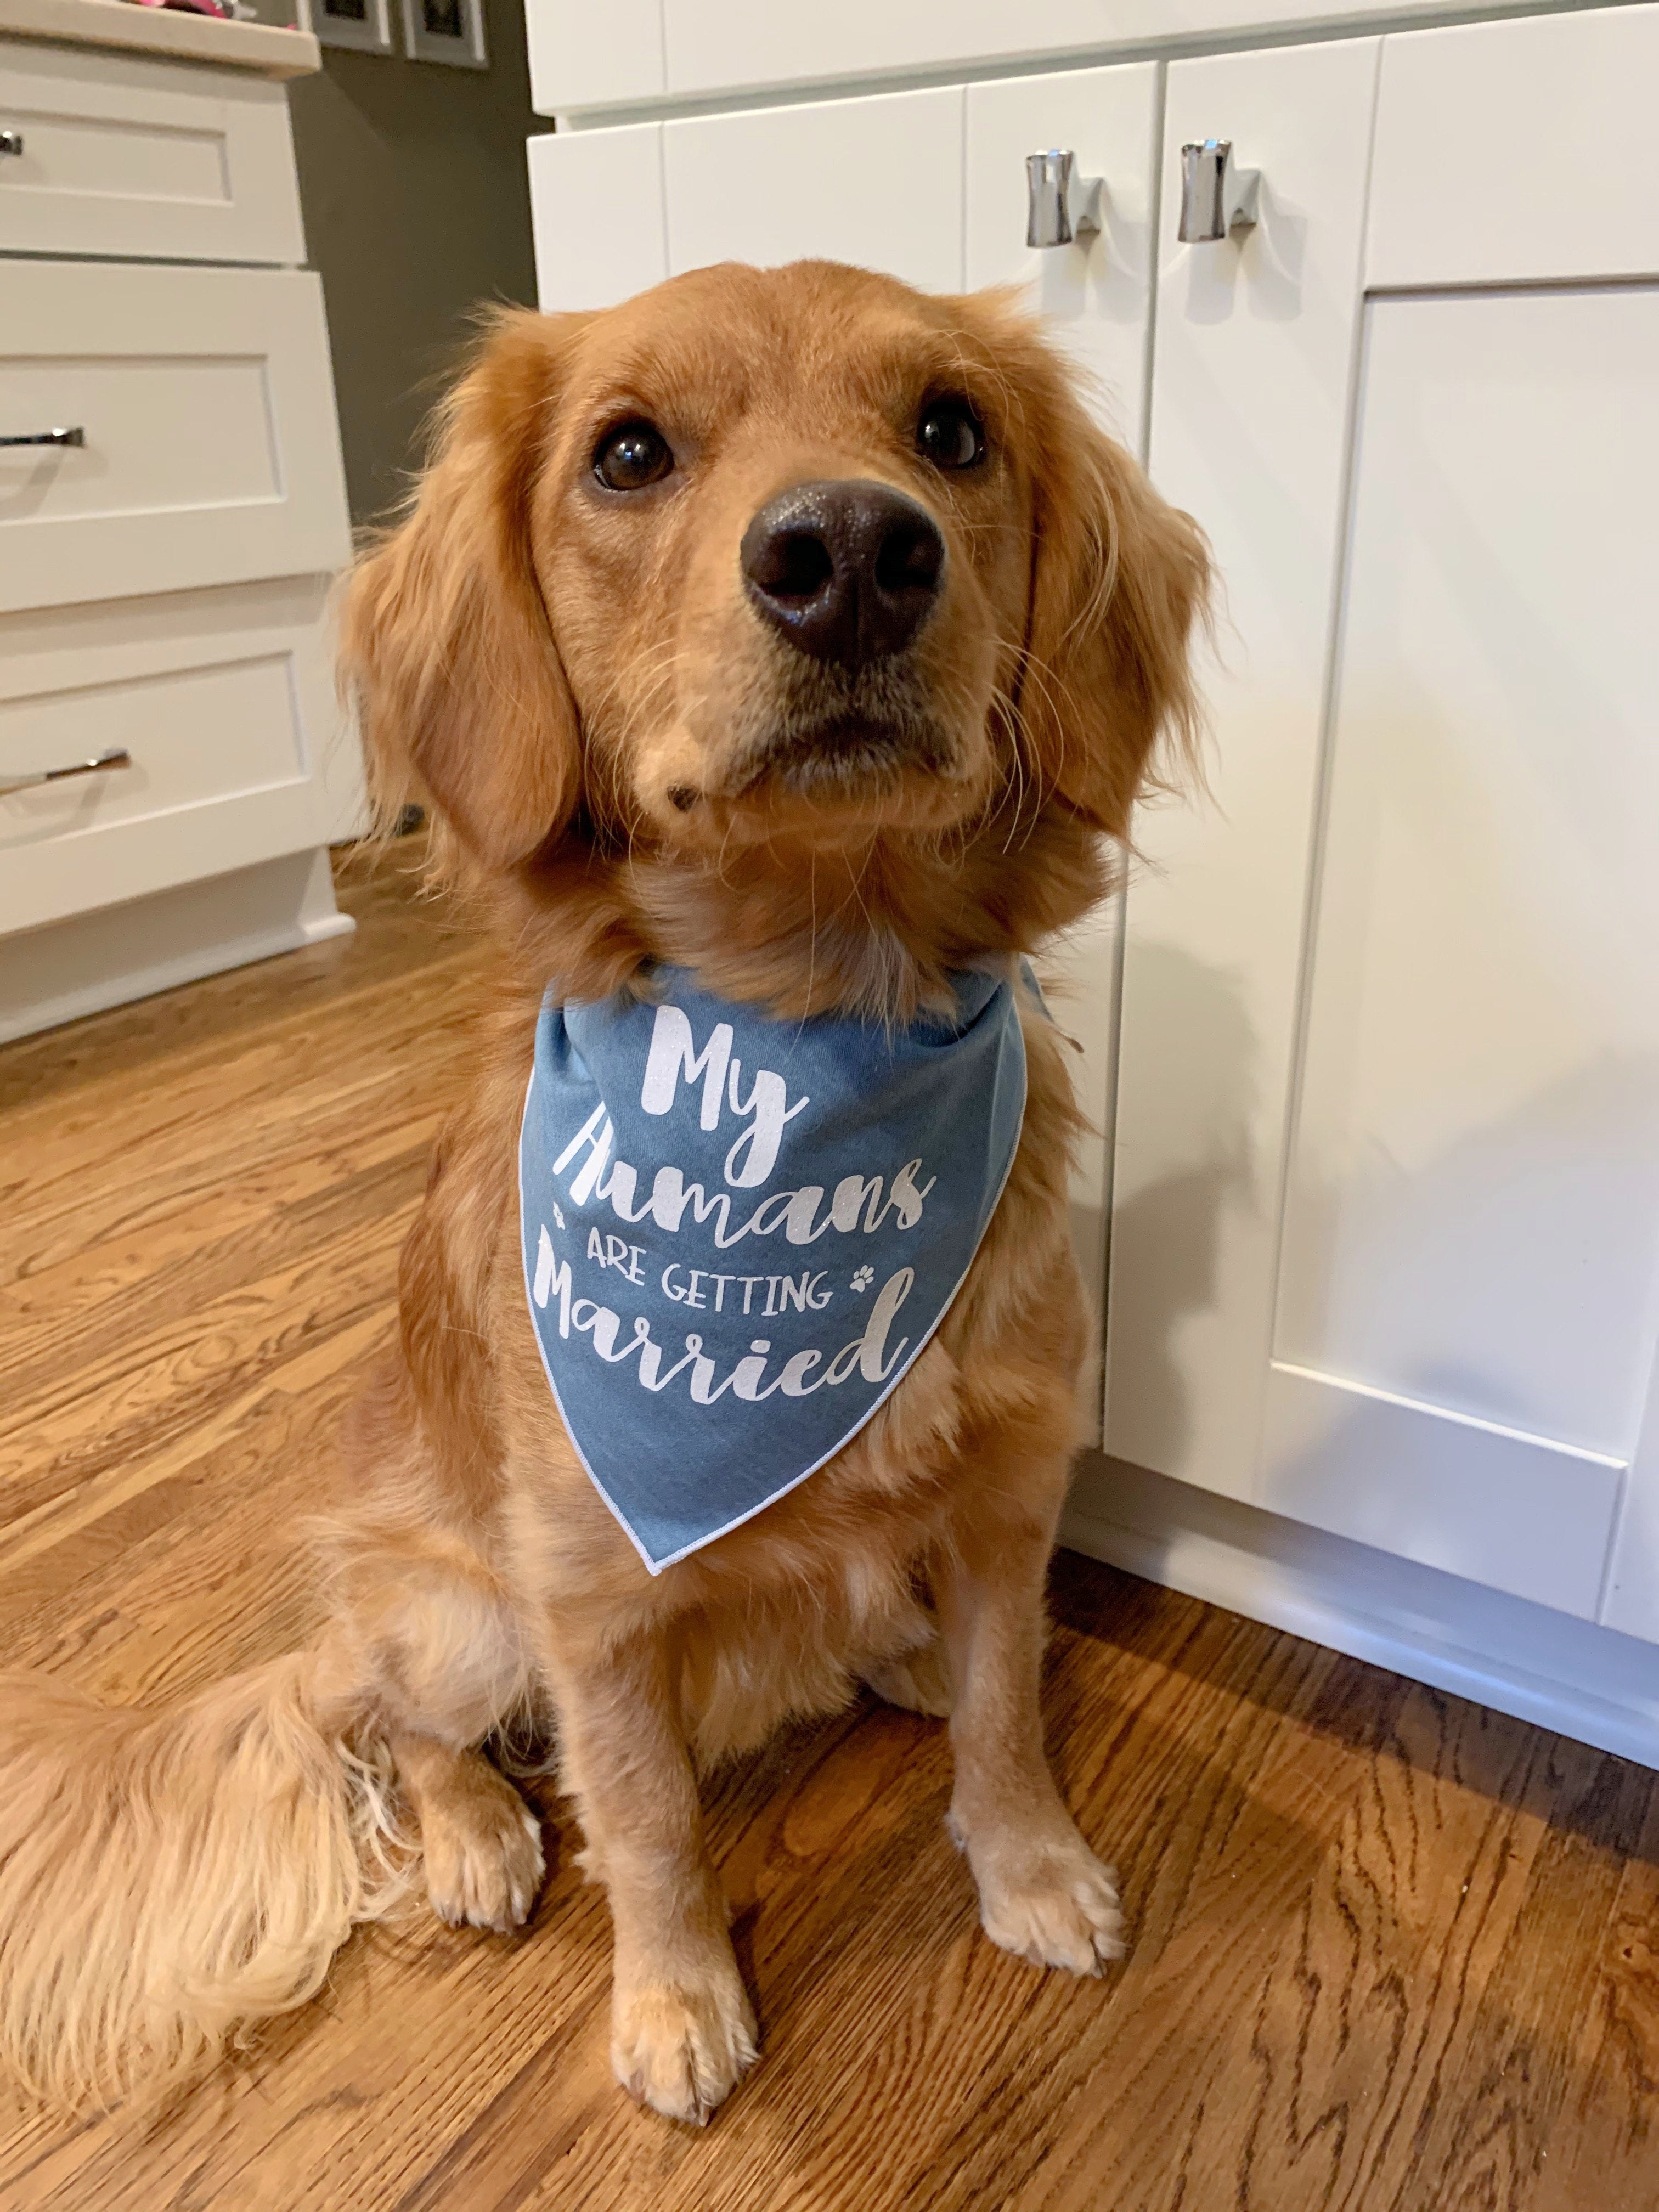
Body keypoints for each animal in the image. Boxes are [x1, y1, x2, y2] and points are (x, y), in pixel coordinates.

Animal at [0, 258, 1203, 2123]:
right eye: (627, 454)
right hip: (452, 1619)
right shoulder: (590, 1590)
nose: (855, 551)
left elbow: (1010, 1703)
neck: (803, 1030)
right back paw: (479, 1834)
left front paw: (1030, 1867)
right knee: (401, 1726)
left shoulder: (1014, 1489)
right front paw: (674, 2000)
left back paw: (895, 1657)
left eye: (951, 432)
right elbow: (641, 1814)